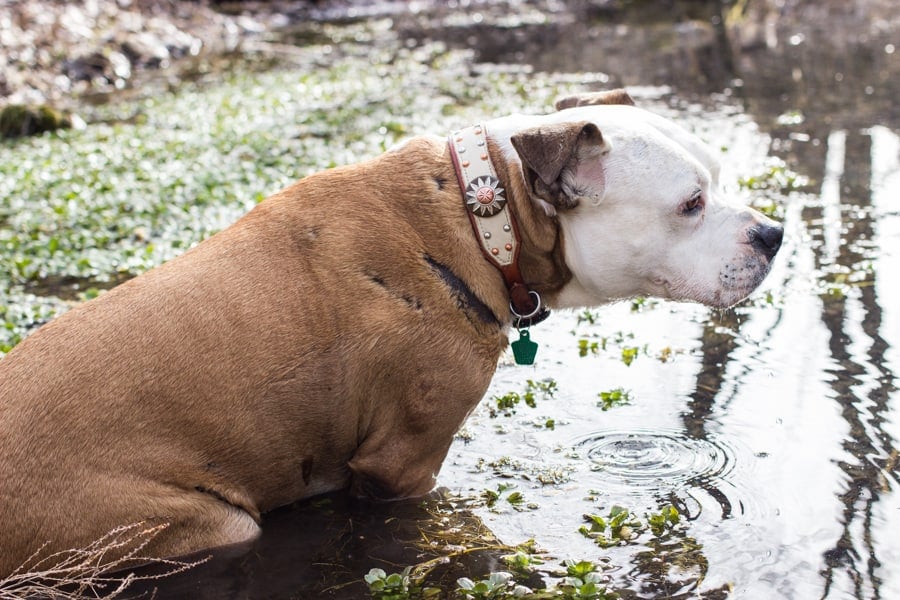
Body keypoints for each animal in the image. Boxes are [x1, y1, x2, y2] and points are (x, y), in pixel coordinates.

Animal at [0, 90, 780, 576]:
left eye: (718, 177)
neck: (481, 216)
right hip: (202, 523)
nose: (773, 233)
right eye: (690, 204)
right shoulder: (405, 463)